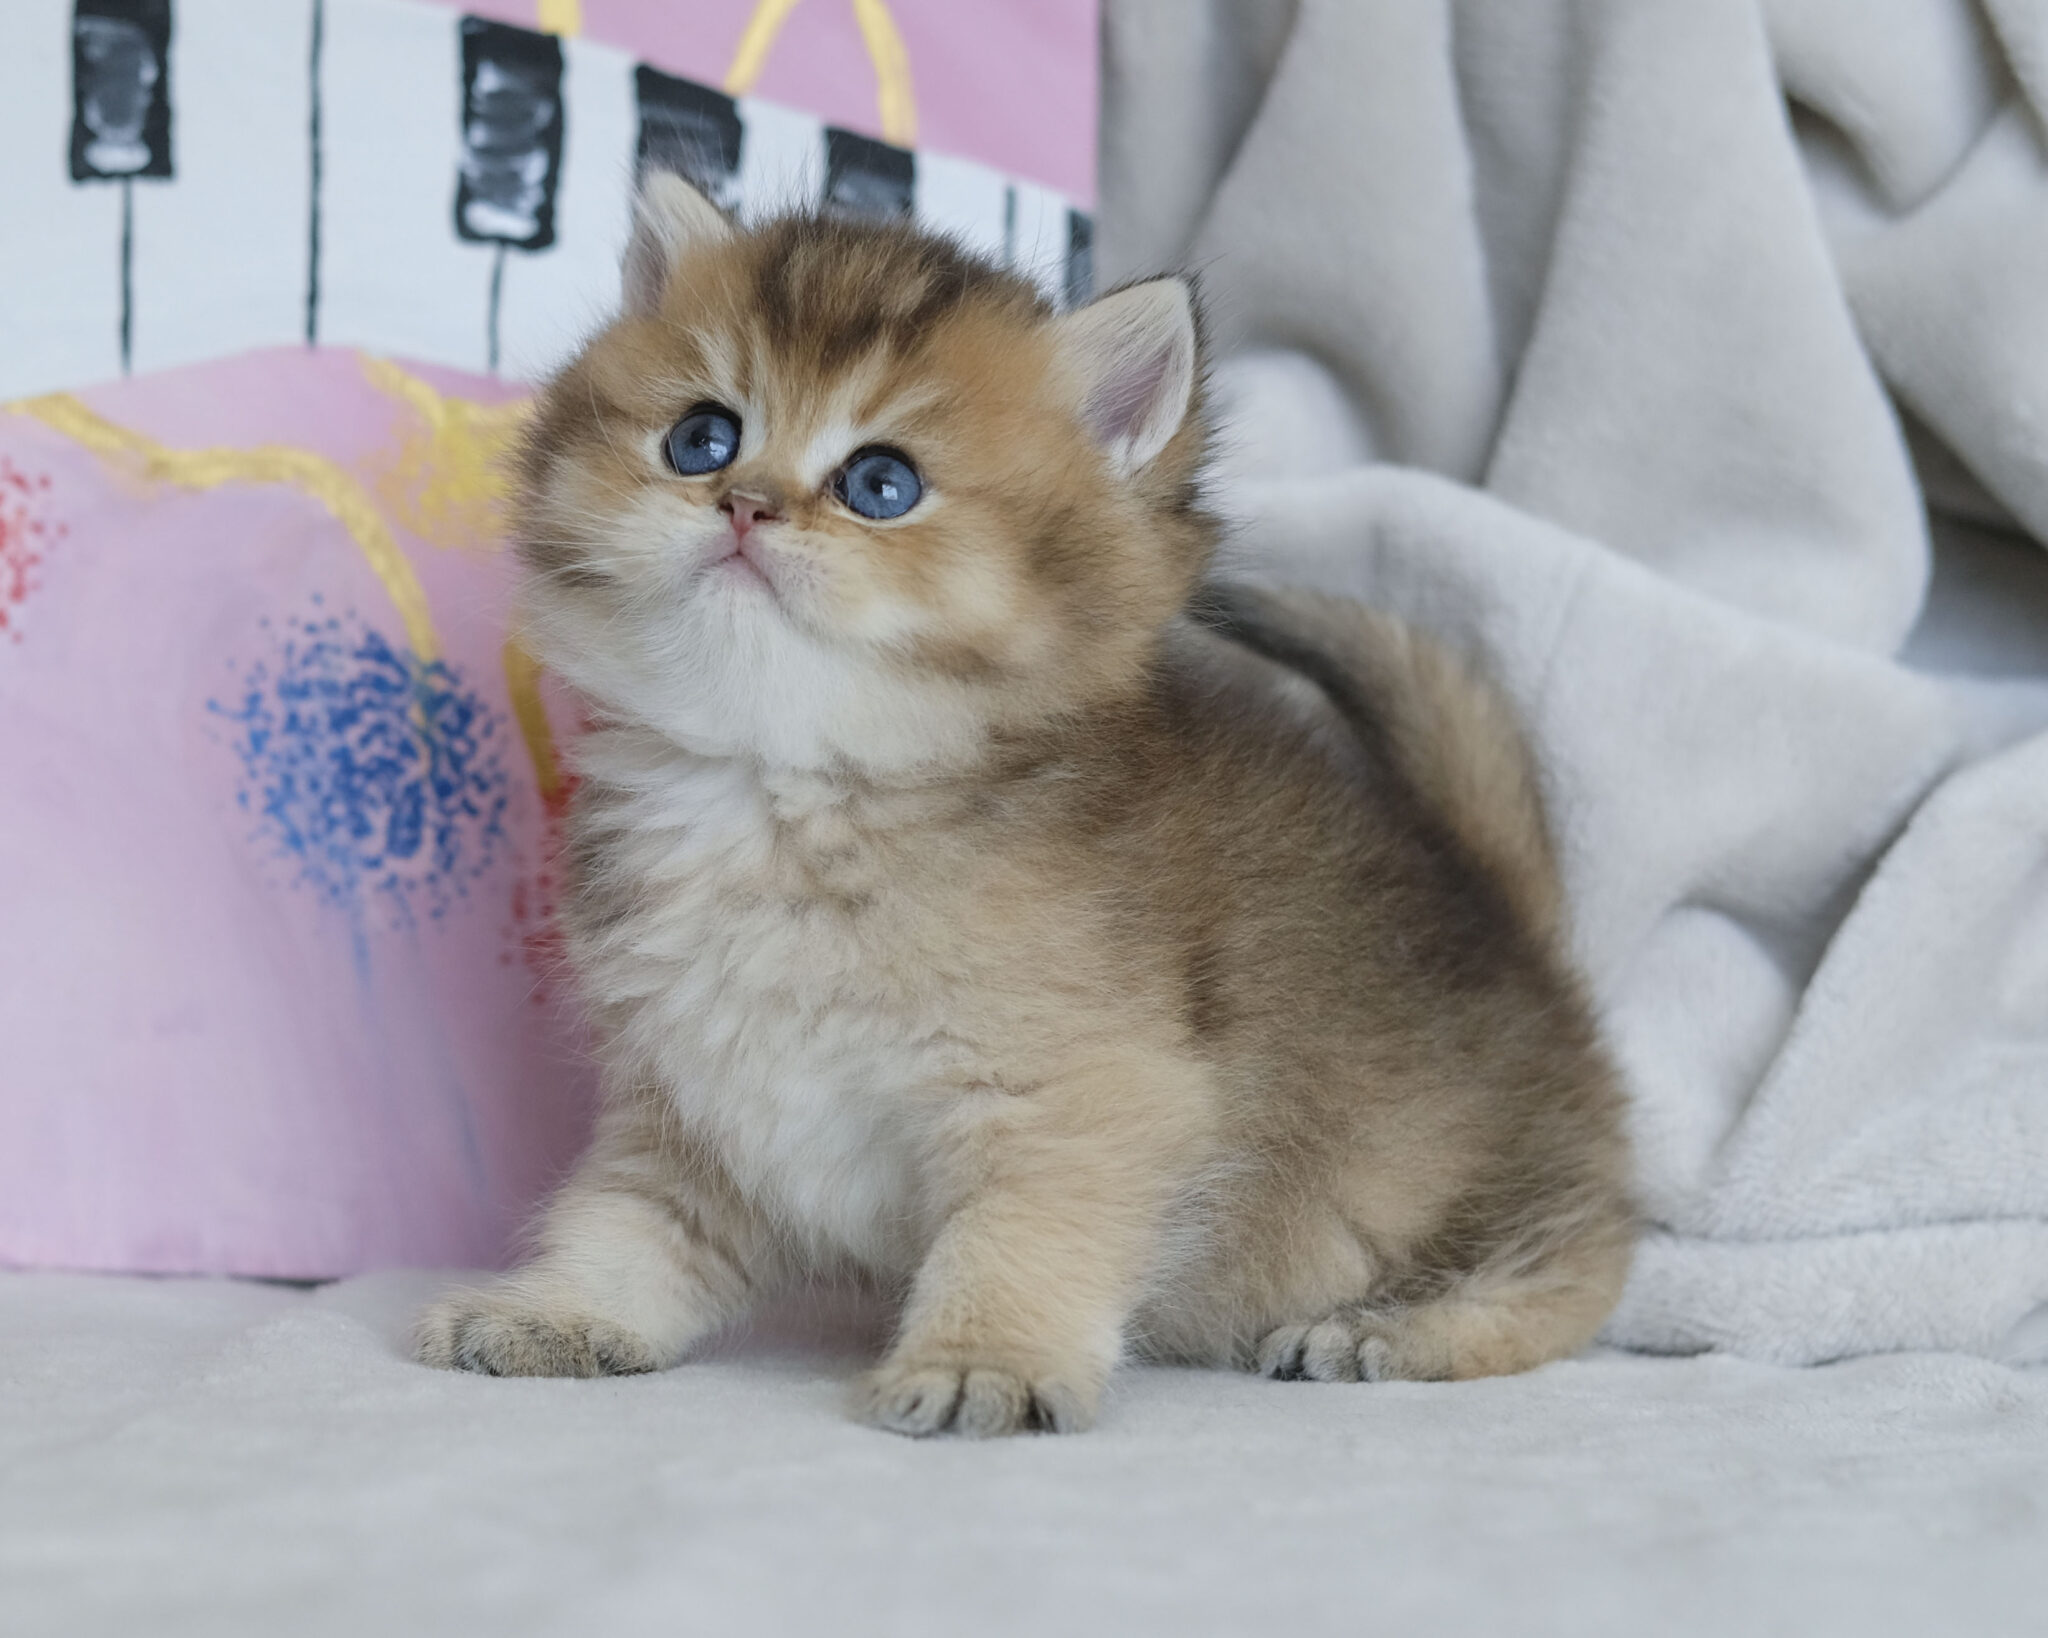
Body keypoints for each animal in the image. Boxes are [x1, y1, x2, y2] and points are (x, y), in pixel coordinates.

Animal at [414, 171, 1635, 1436]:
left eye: (880, 484)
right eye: (701, 438)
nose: (743, 505)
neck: (783, 792)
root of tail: (1503, 918)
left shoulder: (1078, 1098)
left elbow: (1017, 1240)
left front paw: (979, 1361)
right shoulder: (691, 1106)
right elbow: (626, 1225)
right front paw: (561, 1313)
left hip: (1473, 1189)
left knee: (1574, 1273)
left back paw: (1393, 1334)